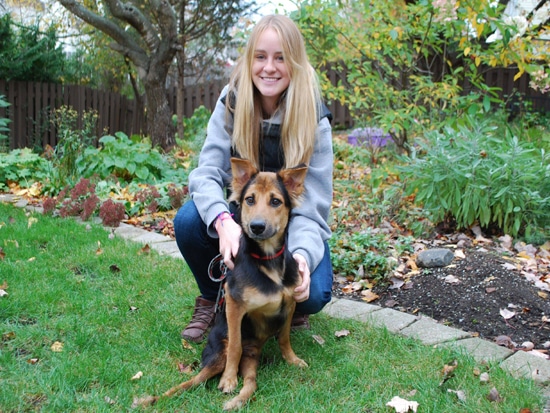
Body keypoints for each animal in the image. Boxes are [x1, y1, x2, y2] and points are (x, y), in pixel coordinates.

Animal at [136, 157, 310, 408]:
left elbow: (285, 337)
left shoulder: (290, 302)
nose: (256, 226)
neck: (267, 260)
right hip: (217, 355)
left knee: (251, 383)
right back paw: (154, 399)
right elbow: (235, 345)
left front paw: (293, 360)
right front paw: (228, 380)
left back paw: (236, 402)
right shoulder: (235, 306)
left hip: (251, 361)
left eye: (276, 201)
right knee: (194, 380)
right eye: (250, 199)